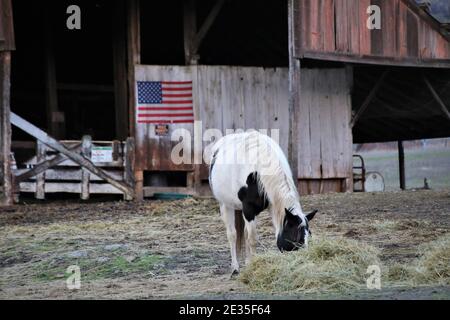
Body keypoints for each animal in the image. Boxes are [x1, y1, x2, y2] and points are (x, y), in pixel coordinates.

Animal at [208, 131, 316, 274]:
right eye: (295, 236)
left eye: (308, 235)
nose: (302, 261)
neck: (258, 171)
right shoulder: (248, 209)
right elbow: (252, 239)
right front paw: (252, 267)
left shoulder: (272, 205)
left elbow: (252, 236)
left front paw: (250, 264)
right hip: (225, 205)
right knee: (232, 234)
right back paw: (235, 268)